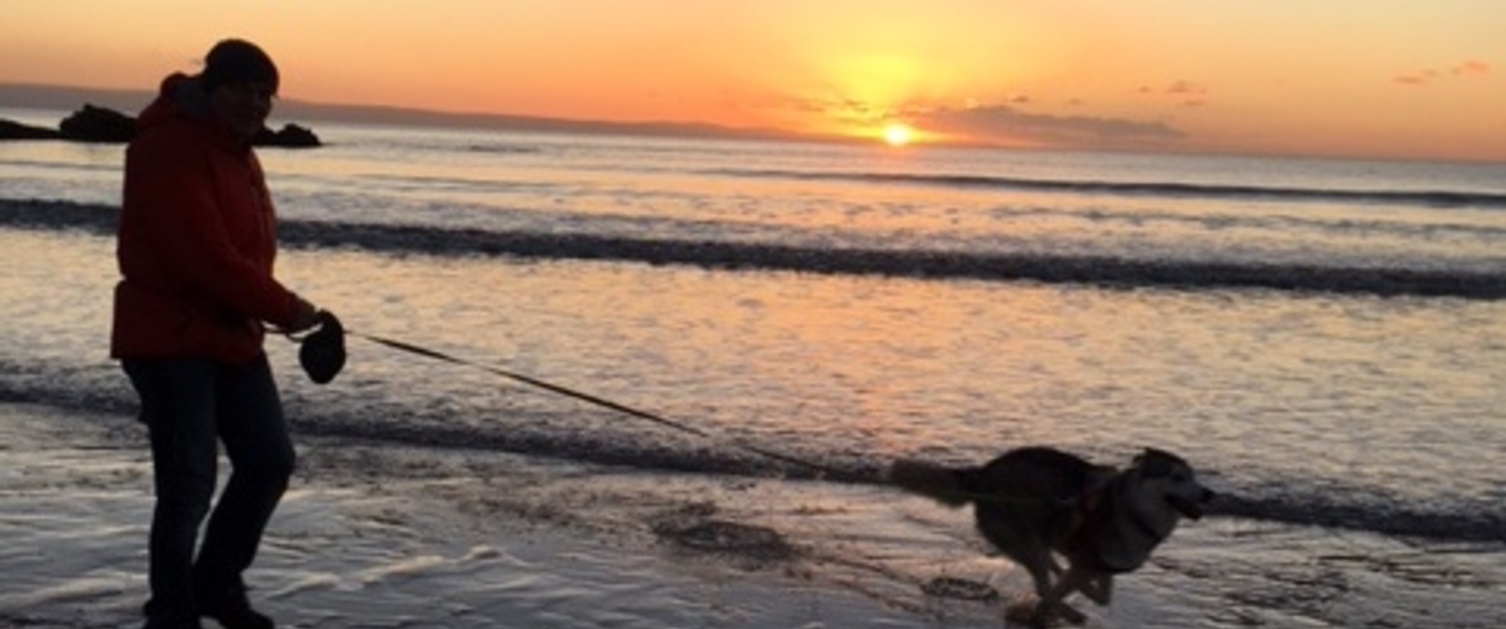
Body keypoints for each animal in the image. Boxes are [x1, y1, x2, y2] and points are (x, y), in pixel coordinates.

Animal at [885, 445, 1216, 625]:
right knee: (1042, 582)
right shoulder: (1086, 559)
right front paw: (1056, 607)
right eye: (1177, 477)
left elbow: (1101, 593)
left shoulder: (1098, 561)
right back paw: (1069, 612)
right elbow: (1064, 589)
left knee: (1046, 570)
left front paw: (1077, 593)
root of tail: (985, 473)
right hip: (1024, 539)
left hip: (1034, 539)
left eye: (1194, 477)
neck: (1131, 509)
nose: (1208, 493)